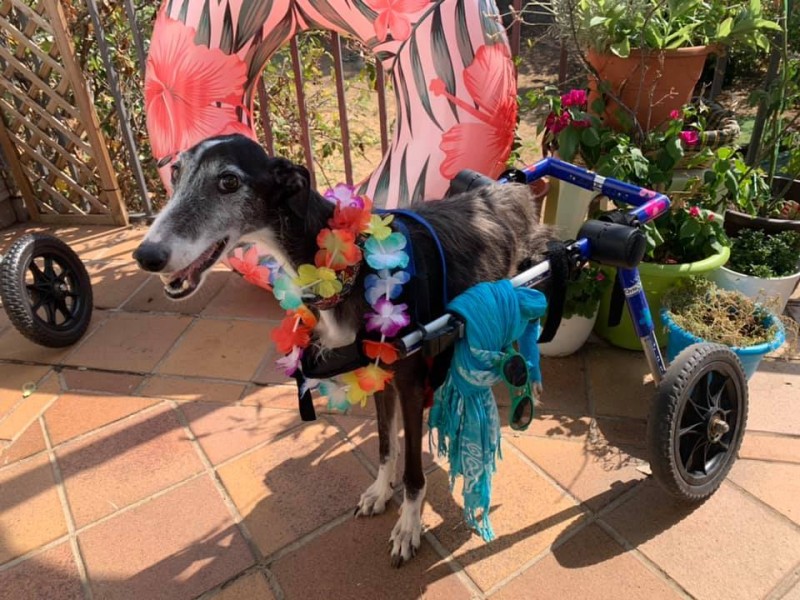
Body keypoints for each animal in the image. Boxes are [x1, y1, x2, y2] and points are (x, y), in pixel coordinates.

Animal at [133, 135, 556, 568]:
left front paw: (408, 528)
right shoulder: (379, 371)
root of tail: (513, 189)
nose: (147, 255)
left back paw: (530, 389)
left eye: (229, 181)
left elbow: (413, 473)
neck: (345, 265)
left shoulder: (409, 380)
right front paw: (380, 492)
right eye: (176, 172)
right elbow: (386, 446)